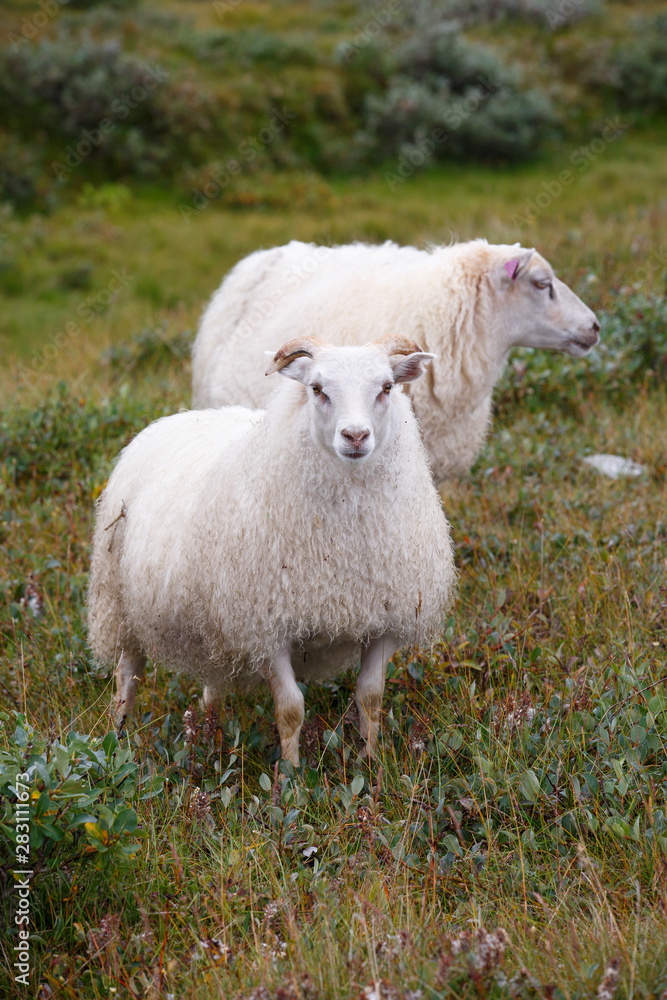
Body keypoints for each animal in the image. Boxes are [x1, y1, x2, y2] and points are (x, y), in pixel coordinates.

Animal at [88, 334, 455, 766]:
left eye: (385, 388)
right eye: (317, 388)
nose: (355, 436)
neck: (346, 539)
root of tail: (175, 418)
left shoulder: (387, 621)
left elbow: (371, 698)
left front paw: (372, 764)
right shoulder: (266, 628)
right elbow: (291, 709)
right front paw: (292, 775)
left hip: (212, 622)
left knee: (213, 678)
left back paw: (208, 734)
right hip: (120, 603)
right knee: (126, 674)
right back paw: (116, 740)